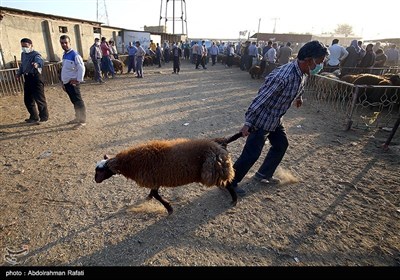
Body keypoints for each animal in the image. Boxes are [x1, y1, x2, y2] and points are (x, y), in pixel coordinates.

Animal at [94, 133, 244, 214]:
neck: (131, 163)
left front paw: (169, 208)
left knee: (229, 183)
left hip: (215, 170)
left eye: (100, 170)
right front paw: (149, 198)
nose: (95, 180)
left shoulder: (154, 180)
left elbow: (156, 195)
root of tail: (221, 142)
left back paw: (234, 200)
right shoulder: (155, 180)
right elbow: (153, 194)